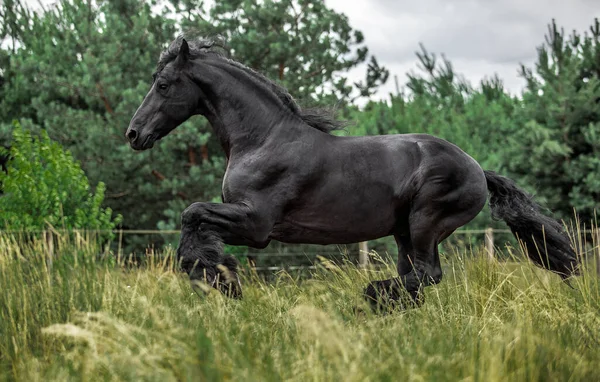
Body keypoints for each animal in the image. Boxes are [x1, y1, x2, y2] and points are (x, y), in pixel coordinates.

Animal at [125, 35, 580, 310]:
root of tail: (478, 171)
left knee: (426, 275)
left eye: (163, 85)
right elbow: (194, 221)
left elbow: (192, 215)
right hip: (404, 232)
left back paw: (371, 298)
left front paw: (220, 281)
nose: (133, 134)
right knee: (416, 278)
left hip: (426, 223)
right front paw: (215, 278)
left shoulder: (256, 225)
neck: (263, 139)